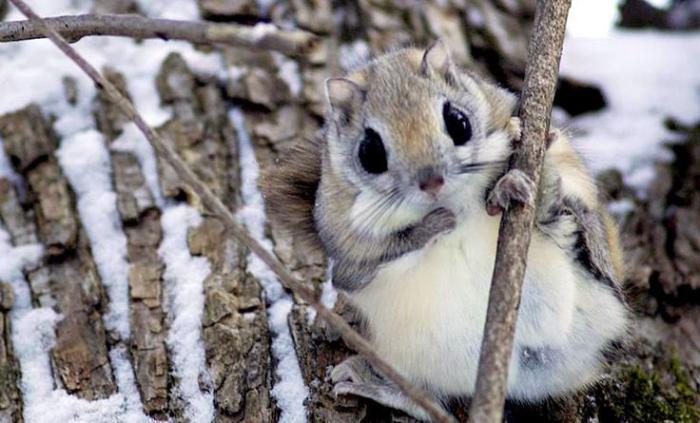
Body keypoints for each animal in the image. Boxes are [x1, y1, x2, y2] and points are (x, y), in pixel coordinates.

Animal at [258, 41, 628, 422]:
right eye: (370, 151)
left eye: (458, 121)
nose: (431, 181)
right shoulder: (347, 249)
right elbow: (371, 262)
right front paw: (432, 226)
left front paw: (515, 147)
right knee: (430, 403)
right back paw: (376, 385)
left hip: (589, 275)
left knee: (569, 229)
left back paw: (533, 192)